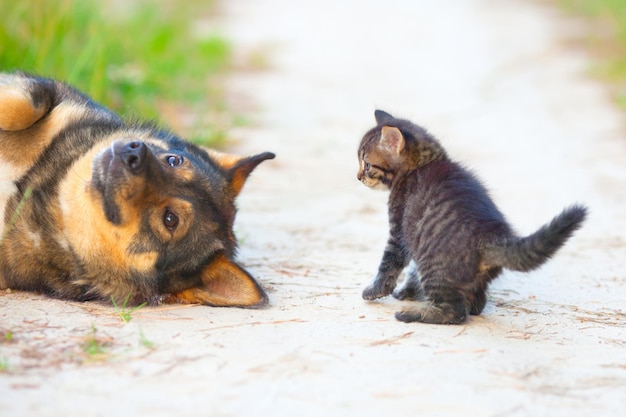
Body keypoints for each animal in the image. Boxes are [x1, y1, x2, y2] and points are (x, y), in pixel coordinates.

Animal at [356, 109, 584, 324]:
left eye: (366, 165)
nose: (358, 177)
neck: (423, 164)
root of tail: (491, 234)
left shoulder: (401, 230)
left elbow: (388, 264)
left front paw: (374, 291)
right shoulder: (413, 236)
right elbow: (411, 271)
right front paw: (406, 291)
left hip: (434, 263)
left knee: (455, 312)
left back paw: (414, 314)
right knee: (476, 303)